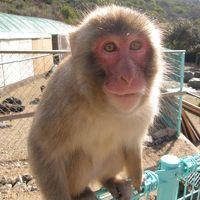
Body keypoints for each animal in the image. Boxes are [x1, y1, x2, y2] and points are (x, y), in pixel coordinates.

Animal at [27, 5, 164, 200]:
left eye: (135, 45)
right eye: (110, 47)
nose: (128, 77)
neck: (106, 108)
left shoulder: (148, 105)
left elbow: (132, 142)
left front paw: (138, 177)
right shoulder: (61, 95)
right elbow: (42, 150)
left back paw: (110, 180)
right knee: (80, 158)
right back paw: (81, 192)